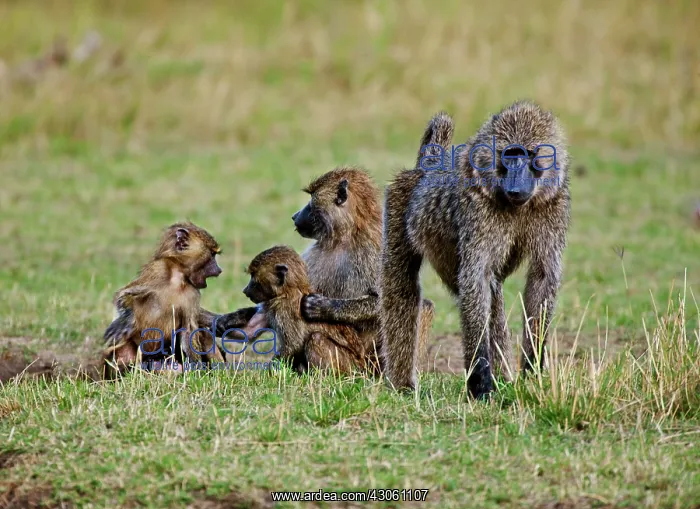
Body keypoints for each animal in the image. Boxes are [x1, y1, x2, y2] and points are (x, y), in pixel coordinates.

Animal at [103, 222, 226, 377]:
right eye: (212, 255)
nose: (219, 270)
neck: (178, 279)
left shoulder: (194, 293)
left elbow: (189, 330)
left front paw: (196, 371)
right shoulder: (156, 271)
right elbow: (123, 295)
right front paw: (125, 320)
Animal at [235, 245, 376, 374]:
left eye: (253, 277)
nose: (245, 291)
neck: (288, 290)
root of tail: (363, 366)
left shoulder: (284, 310)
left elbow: (293, 345)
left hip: (349, 365)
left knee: (316, 338)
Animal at [380, 100, 570, 399]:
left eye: (529, 155)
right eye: (510, 155)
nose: (516, 186)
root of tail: (429, 165)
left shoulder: (555, 205)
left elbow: (541, 277)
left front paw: (532, 369)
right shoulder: (477, 211)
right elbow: (475, 278)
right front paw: (480, 382)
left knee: (494, 291)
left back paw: (504, 378)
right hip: (399, 202)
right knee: (402, 288)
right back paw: (402, 385)